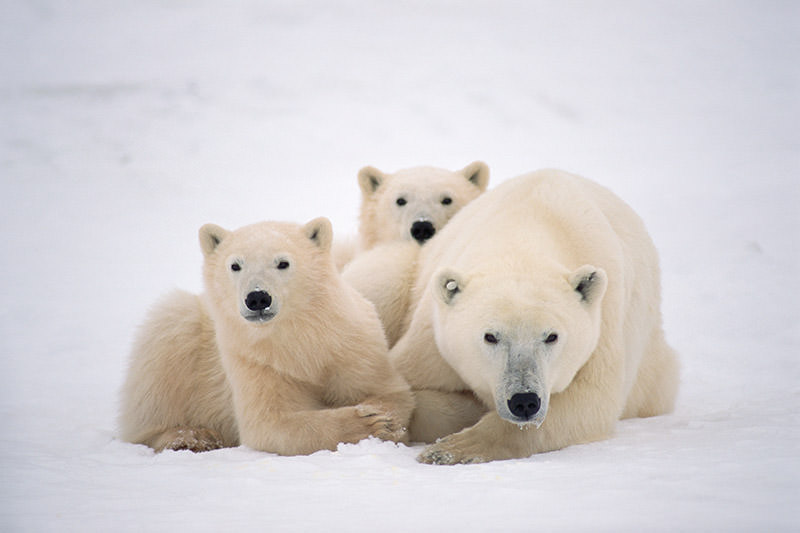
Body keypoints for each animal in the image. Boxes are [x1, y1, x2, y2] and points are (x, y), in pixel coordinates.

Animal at [390, 169, 680, 462]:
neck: (526, 235)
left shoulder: (604, 323)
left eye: (551, 336)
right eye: (490, 337)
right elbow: (403, 382)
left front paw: (453, 448)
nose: (524, 401)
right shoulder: (431, 340)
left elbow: (589, 402)